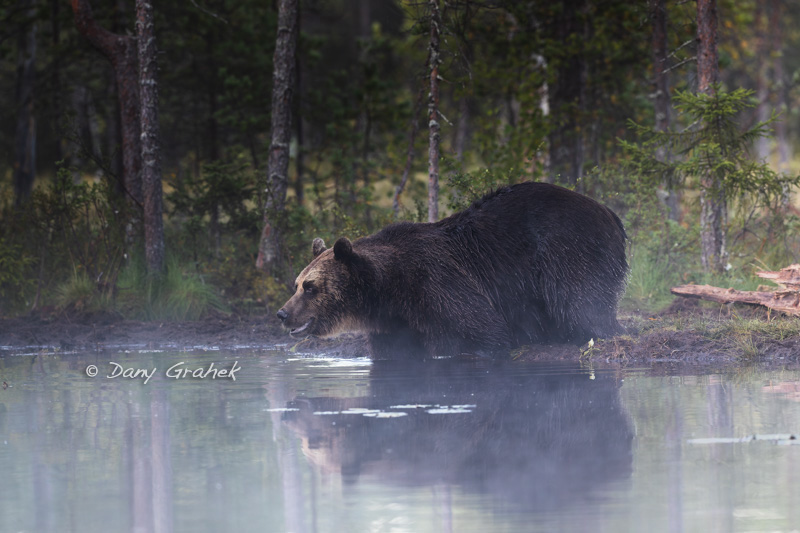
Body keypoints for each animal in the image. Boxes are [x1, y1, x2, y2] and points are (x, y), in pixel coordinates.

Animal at [278, 181, 628, 360]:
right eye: (295, 284)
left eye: (310, 286)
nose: (282, 314)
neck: (388, 289)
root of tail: (610, 212)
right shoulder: (395, 324)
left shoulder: (437, 286)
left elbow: (481, 332)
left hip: (568, 249)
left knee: (579, 302)